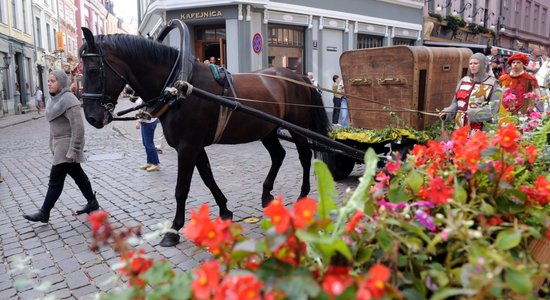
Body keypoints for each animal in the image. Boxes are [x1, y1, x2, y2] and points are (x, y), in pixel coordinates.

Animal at [79, 25, 330, 246]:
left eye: (92, 70)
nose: (91, 117)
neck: (178, 87)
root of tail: (299, 77)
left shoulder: (187, 147)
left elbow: (182, 188)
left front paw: (173, 230)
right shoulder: (196, 146)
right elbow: (208, 177)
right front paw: (225, 210)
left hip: (297, 127)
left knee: (305, 156)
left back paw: (302, 196)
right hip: (267, 130)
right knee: (278, 155)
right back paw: (266, 194)